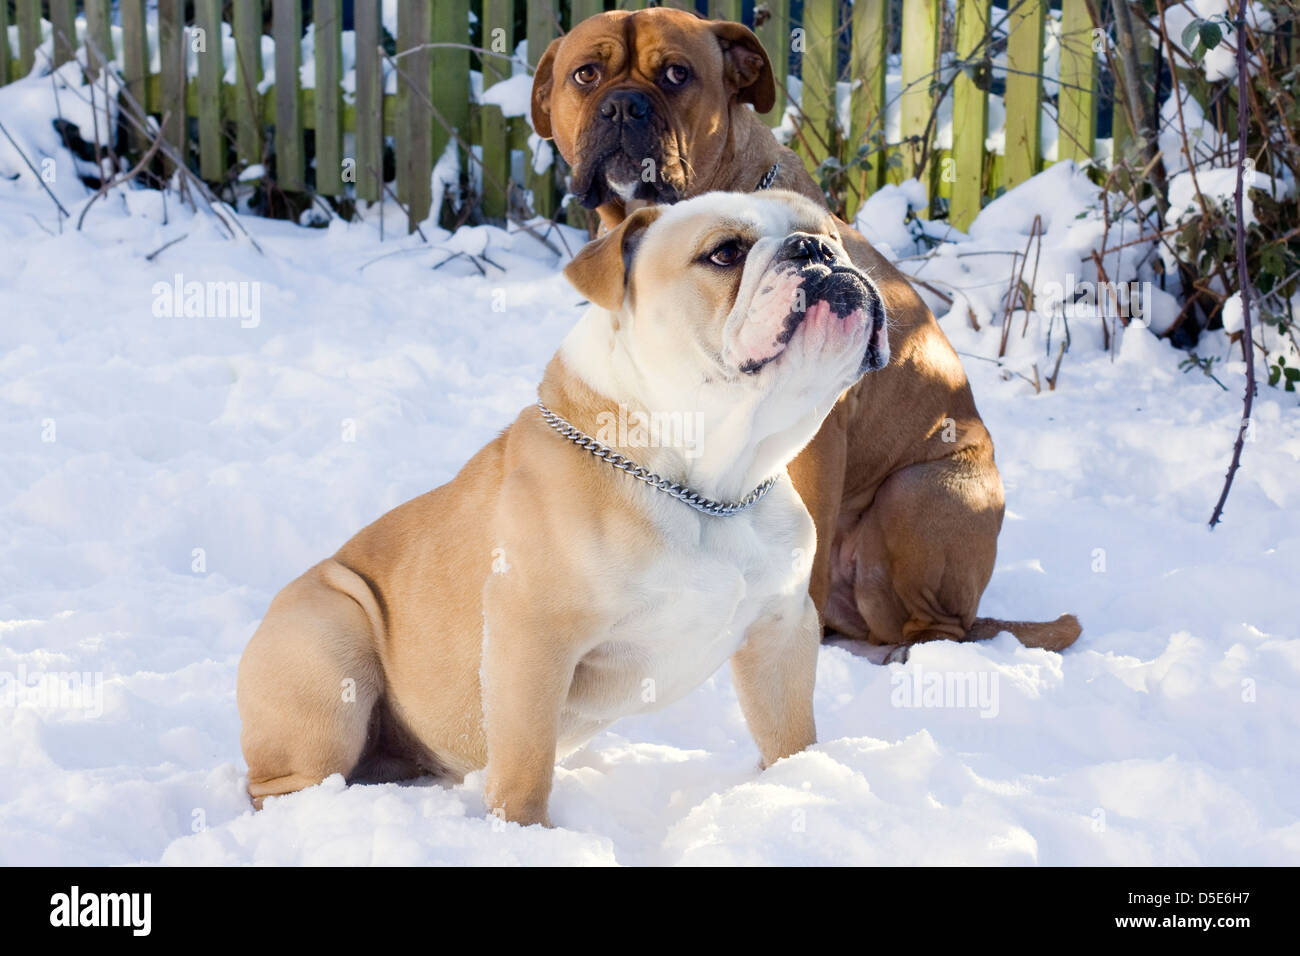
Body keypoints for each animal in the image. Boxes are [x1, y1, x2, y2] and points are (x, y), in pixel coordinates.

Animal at [527, 5, 1076, 650]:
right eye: (585, 75)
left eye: (677, 74)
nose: (622, 106)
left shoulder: (816, 446)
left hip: (921, 490)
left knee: (935, 625)